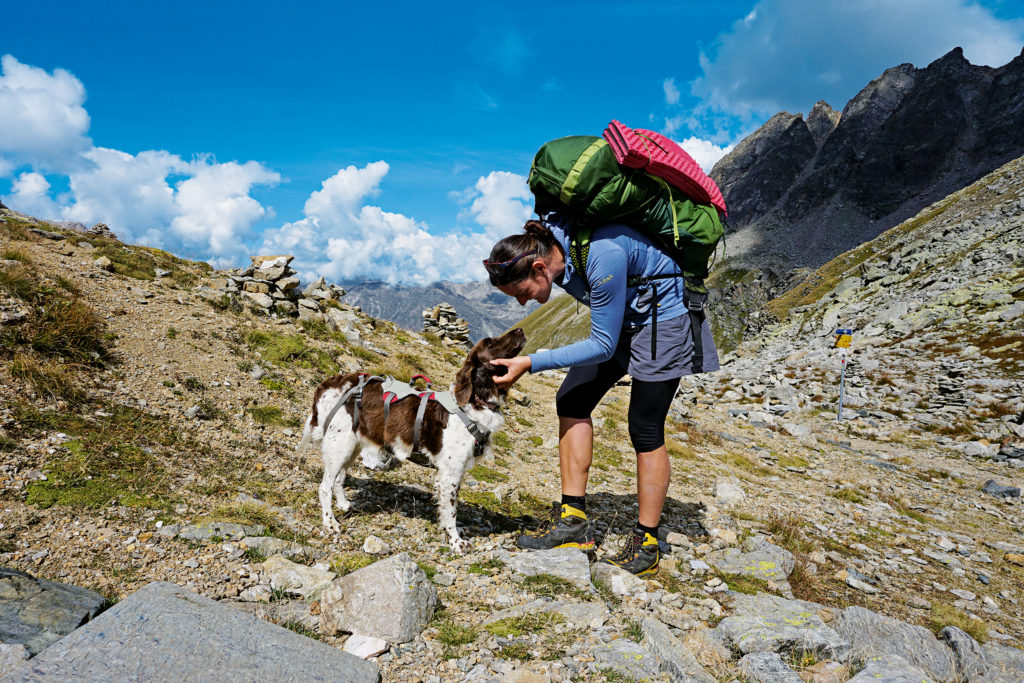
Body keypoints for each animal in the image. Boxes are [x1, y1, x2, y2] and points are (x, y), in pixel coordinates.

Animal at [292, 327, 524, 557]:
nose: (520, 331)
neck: (474, 404)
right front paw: (456, 542)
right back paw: (330, 523)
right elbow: (451, 512)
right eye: (490, 342)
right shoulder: (450, 473)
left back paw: (344, 505)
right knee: (324, 487)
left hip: (351, 445)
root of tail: (334, 383)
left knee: (339, 479)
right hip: (340, 445)